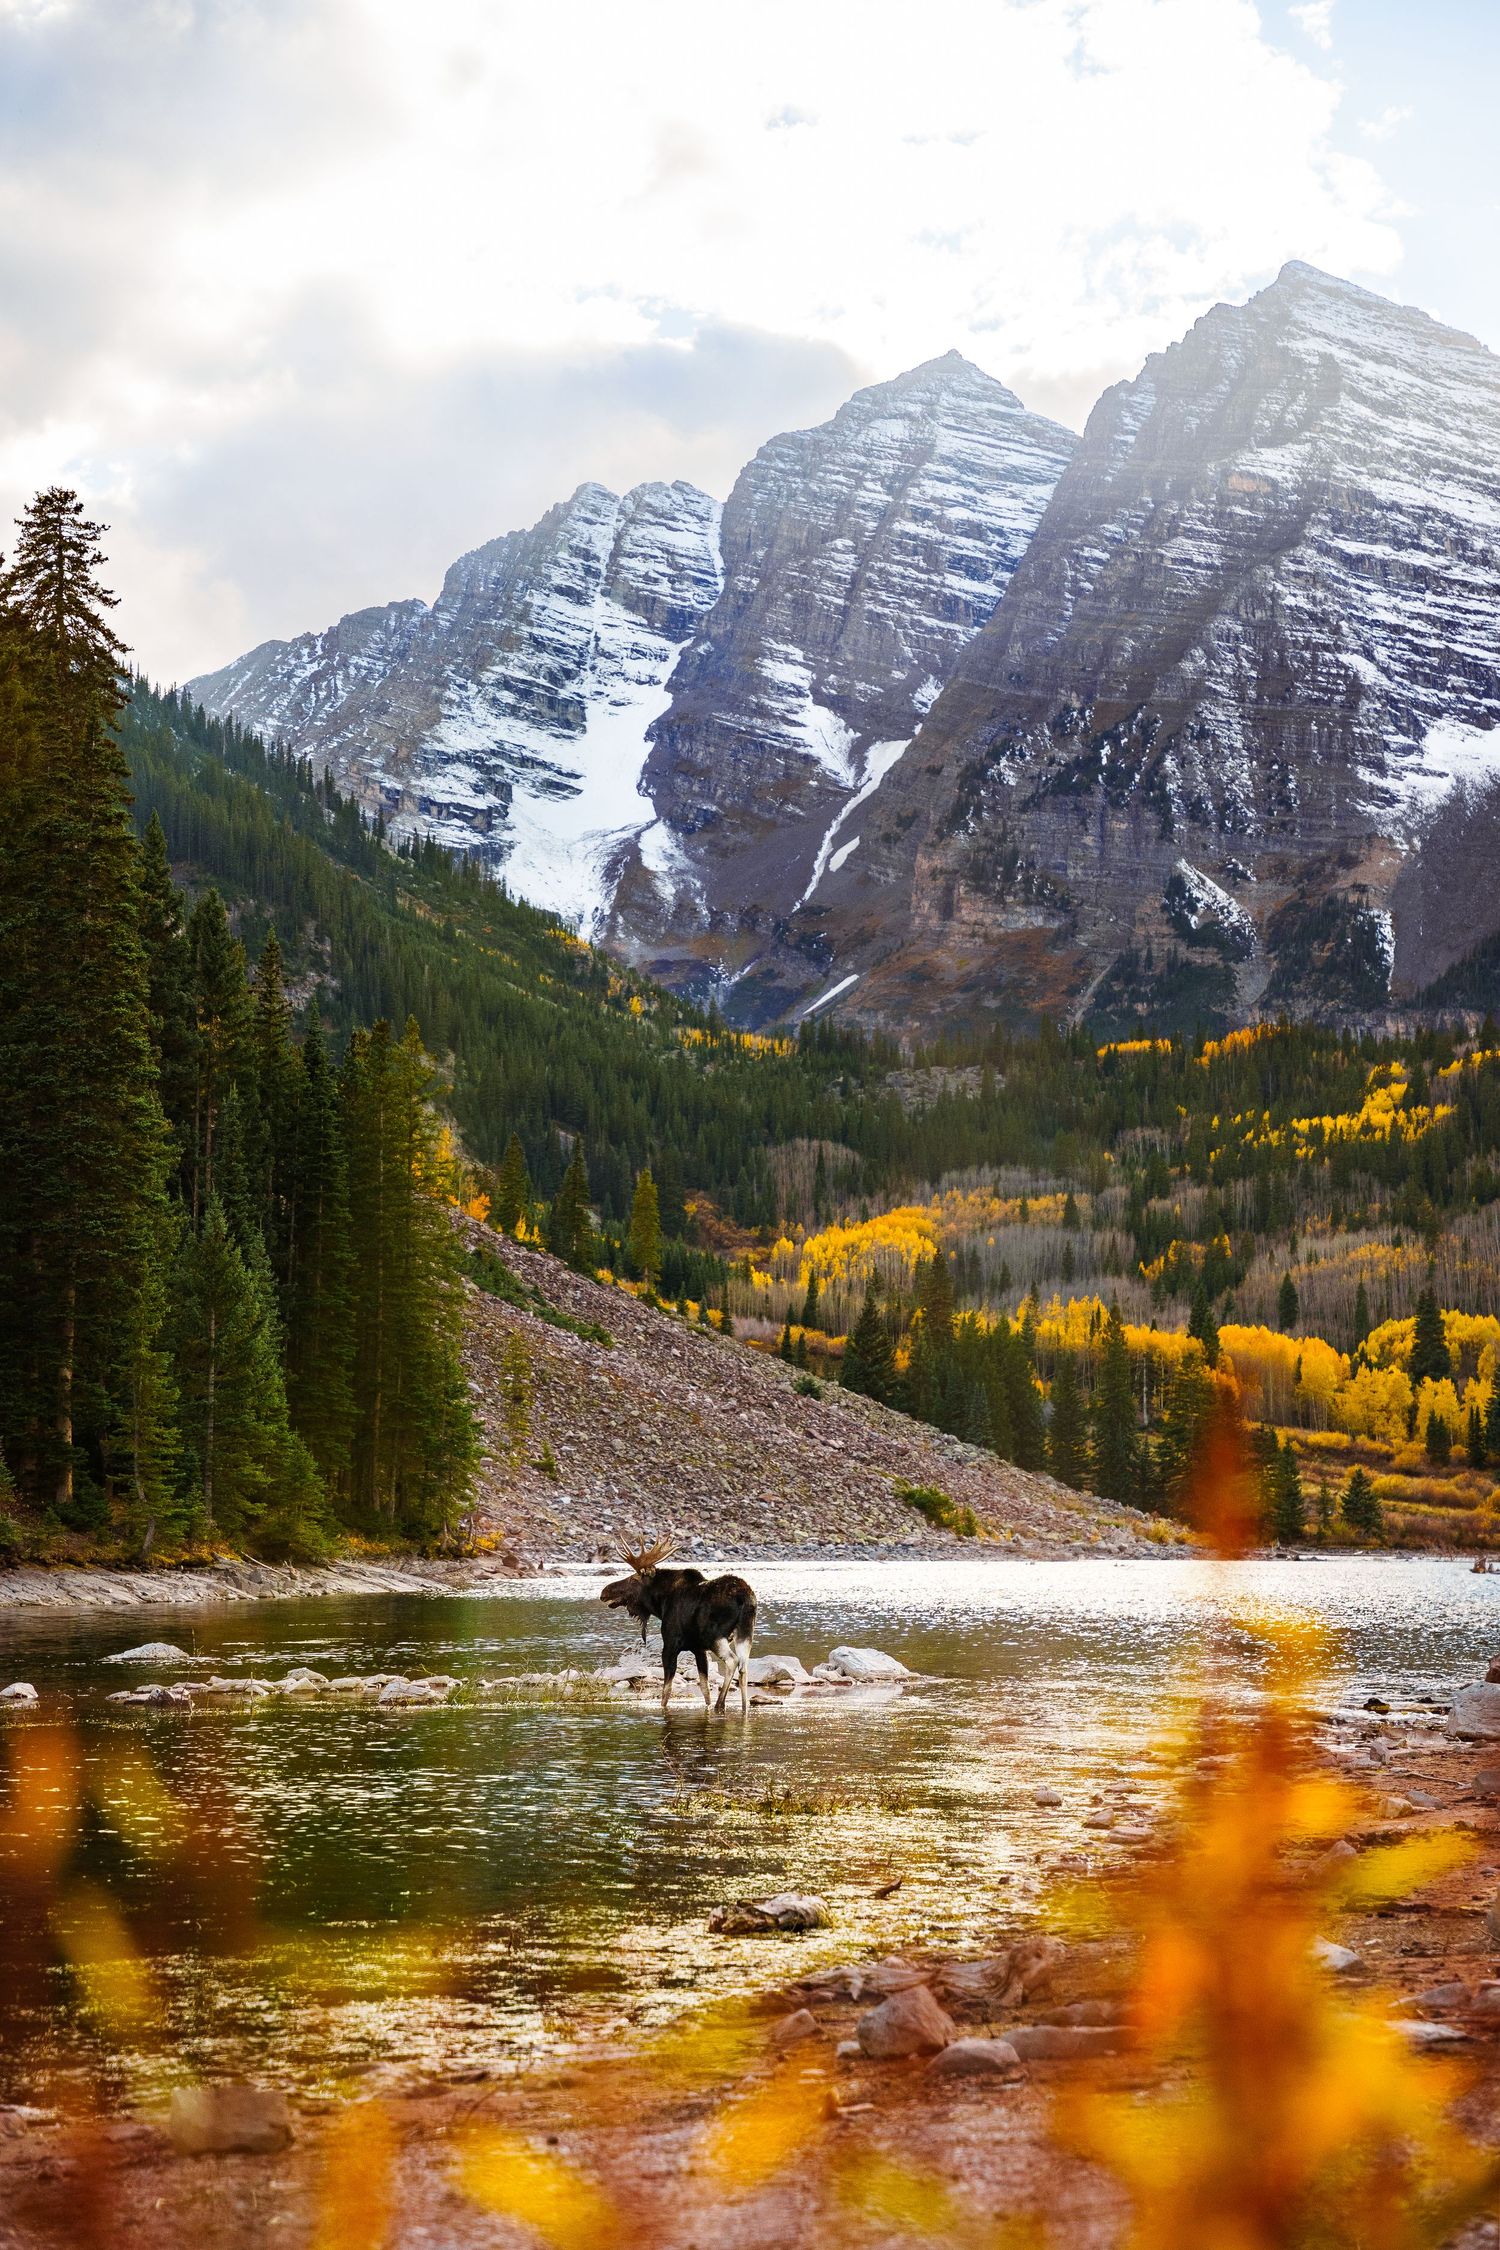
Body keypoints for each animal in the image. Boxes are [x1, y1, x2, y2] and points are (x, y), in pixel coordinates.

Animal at [600, 1533, 757, 1716]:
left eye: (633, 1579)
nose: (604, 1592)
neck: (660, 1605)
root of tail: (744, 1597)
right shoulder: (699, 1649)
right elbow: (705, 1689)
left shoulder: (670, 1644)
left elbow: (666, 1691)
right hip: (745, 1632)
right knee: (744, 1667)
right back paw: (744, 1708)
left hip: (715, 1635)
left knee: (733, 1661)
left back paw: (721, 1704)